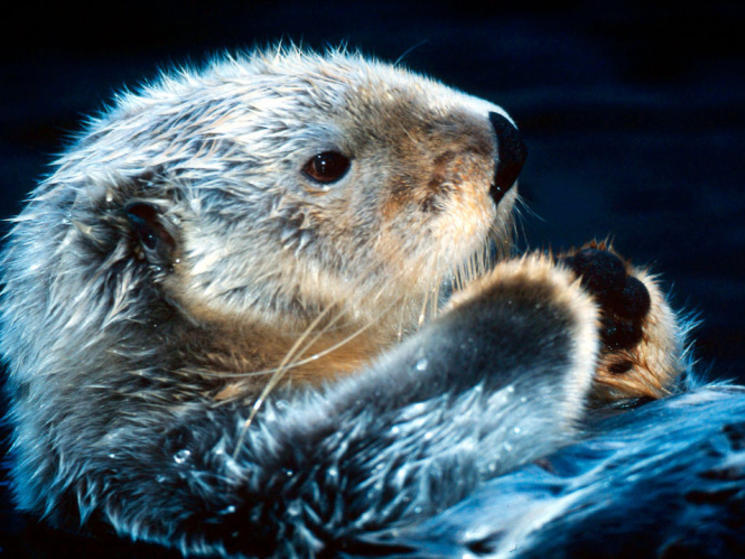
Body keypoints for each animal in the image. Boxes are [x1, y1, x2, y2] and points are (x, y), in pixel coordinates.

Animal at [4, 48, 741, 557]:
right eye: (326, 164)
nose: (508, 142)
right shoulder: (211, 470)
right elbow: (396, 439)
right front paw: (527, 290)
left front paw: (606, 288)